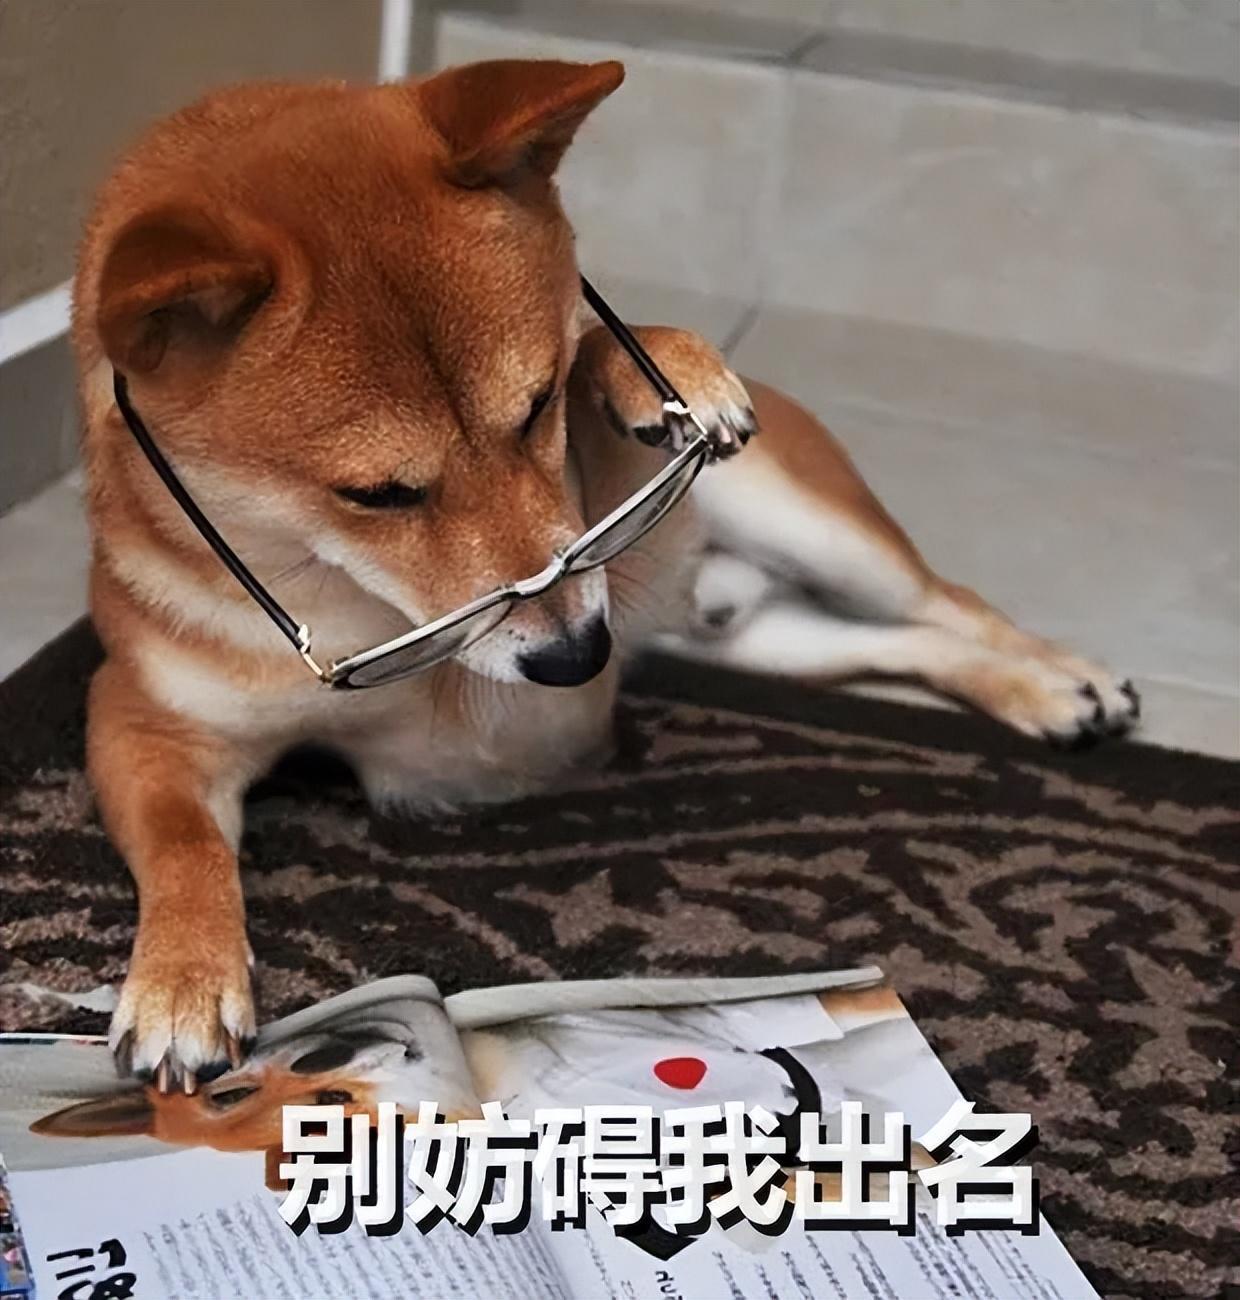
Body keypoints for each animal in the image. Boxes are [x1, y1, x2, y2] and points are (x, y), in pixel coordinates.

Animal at [71, 58, 1139, 1092]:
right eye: (375, 494)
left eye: (535, 406)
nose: (582, 654)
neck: (355, 612)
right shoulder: (147, 721)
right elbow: (182, 843)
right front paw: (180, 982)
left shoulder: (582, 621)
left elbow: (597, 370)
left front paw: (659, 369)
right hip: (763, 642)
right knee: (903, 643)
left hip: (815, 535)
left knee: (949, 602)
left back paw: (1064, 681)